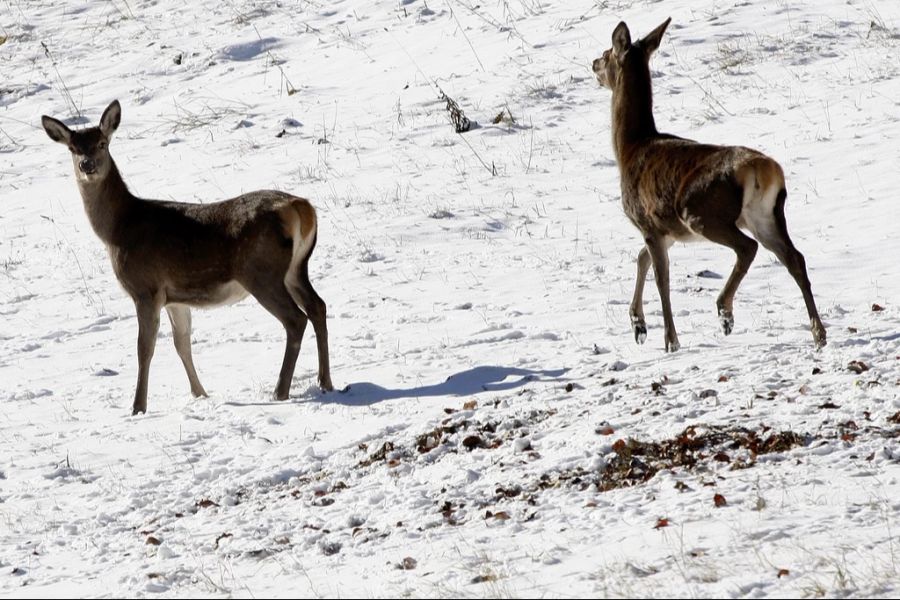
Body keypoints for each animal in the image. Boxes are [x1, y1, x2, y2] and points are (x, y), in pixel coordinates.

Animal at [42, 101, 334, 414]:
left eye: (102, 143)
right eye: (73, 148)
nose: (87, 165)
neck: (118, 230)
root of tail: (300, 207)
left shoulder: (146, 288)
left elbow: (145, 348)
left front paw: (138, 407)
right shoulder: (175, 298)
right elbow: (182, 343)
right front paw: (200, 394)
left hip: (261, 271)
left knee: (296, 319)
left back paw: (280, 391)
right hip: (296, 268)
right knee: (318, 306)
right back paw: (325, 382)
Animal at [596, 18, 828, 352]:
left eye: (606, 53)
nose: (593, 64)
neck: (629, 149)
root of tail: (761, 169)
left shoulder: (648, 221)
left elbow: (660, 277)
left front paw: (670, 341)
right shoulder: (667, 230)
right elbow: (641, 259)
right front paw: (638, 325)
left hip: (701, 211)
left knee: (748, 247)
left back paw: (724, 312)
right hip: (765, 214)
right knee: (794, 257)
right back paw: (818, 333)